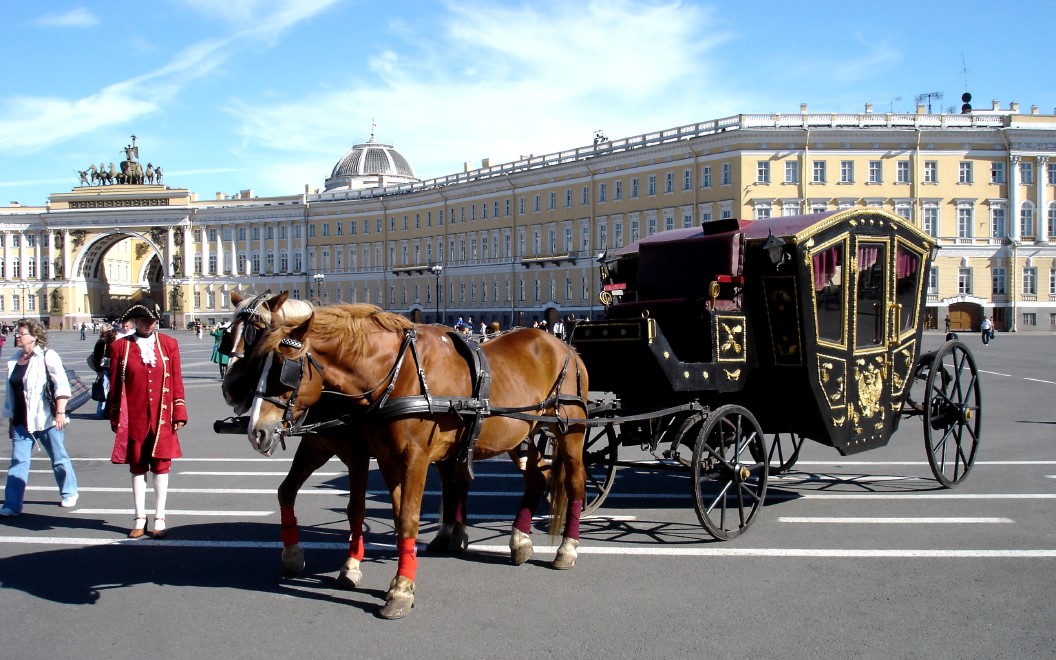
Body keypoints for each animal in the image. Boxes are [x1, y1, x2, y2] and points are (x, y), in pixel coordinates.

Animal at [229, 294, 589, 619]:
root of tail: (565, 346)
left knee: (575, 483)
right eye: (257, 358)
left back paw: (566, 549)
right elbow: (389, 514)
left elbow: (405, 518)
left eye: (283, 369)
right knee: (538, 477)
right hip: (521, 435)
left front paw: (399, 589)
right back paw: (519, 540)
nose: (255, 431)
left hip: (570, 432)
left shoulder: (406, 458)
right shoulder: (382, 457)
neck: (398, 374)